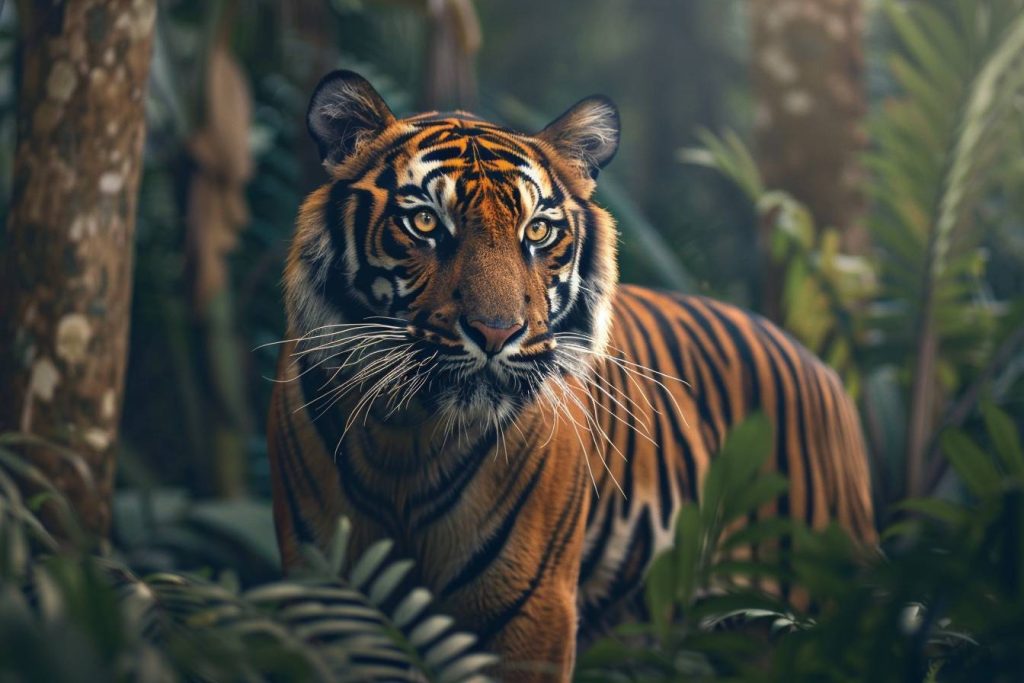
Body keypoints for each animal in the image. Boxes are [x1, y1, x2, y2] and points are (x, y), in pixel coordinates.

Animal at [267, 70, 876, 682]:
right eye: (424, 223)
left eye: (537, 231)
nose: (495, 333)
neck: (405, 435)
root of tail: (822, 368)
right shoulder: (336, 601)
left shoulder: (529, 611)